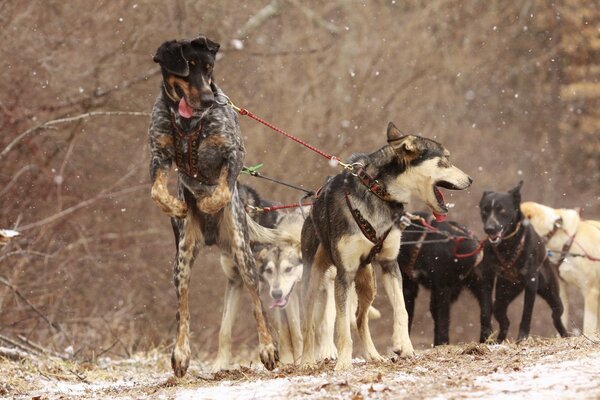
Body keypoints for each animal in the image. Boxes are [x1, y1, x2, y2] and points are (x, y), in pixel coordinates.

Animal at [148, 36, 286, 376]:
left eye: (209, 68)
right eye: (188, 68)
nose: (209, 99)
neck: (188, 126)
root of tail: (213, 239)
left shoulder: (233, 152)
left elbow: (223, 189)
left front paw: (208, 199)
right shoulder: (158, 156)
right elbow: (157, 191)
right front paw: (177, 206)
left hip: (243, 256)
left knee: (258, 304)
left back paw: (268, 348)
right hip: (182, 261)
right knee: (183, 308)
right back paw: (181, 353)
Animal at [478, 181, 568, 340]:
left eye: (502, 210)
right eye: (485, 210)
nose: (489, 228)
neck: (507, 245)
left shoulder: (531, 281)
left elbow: (527, 313)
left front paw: (522, 337)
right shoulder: (487, 276)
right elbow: (485, 309)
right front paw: (486, 335)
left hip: (550, 292)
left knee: (557, 314)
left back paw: (565, 334)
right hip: (504, 295)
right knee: (503, 319)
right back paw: (500, 340)